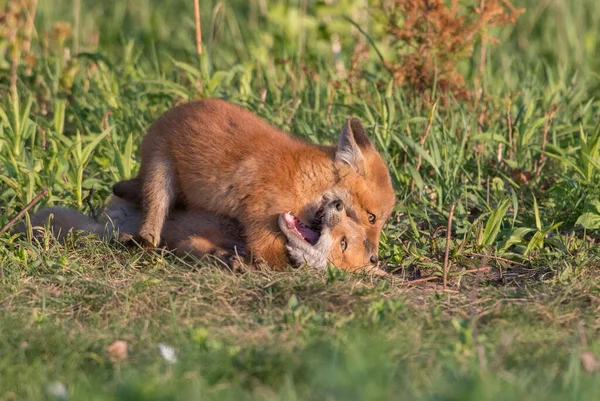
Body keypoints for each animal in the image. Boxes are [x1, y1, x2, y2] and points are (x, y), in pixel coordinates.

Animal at [114, 98, 396, 270]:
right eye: (372, 217)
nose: (374, 257)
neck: (306, 183)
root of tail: (180, 107)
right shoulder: (263, 223)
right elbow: (276, 262)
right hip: (160, 176)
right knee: (152, 216)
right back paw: (145, 243)